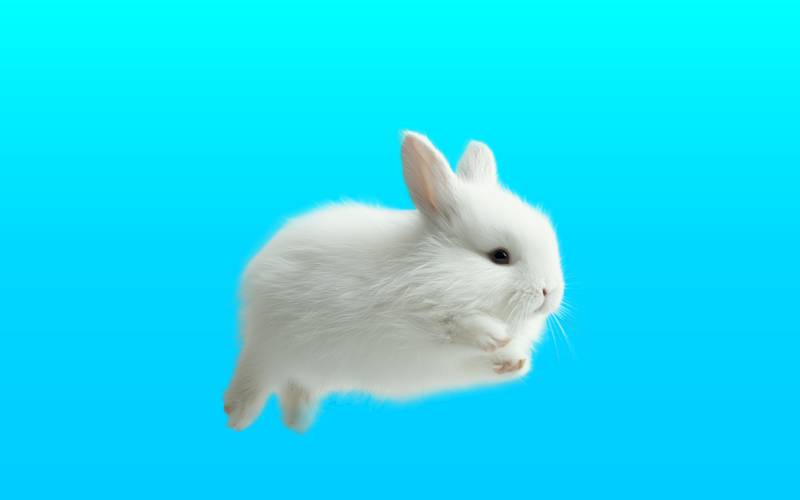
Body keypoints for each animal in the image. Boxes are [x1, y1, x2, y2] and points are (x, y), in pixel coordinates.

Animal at [224, 131, 564, 432]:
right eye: (499, 256)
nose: (550, 292)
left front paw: (514, 361)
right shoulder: (413, 317)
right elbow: (453, 325)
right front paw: (494, 336)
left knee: (295, 386)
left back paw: (298, 422)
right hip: (269, 346)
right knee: (255, 376)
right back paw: (237, 416)